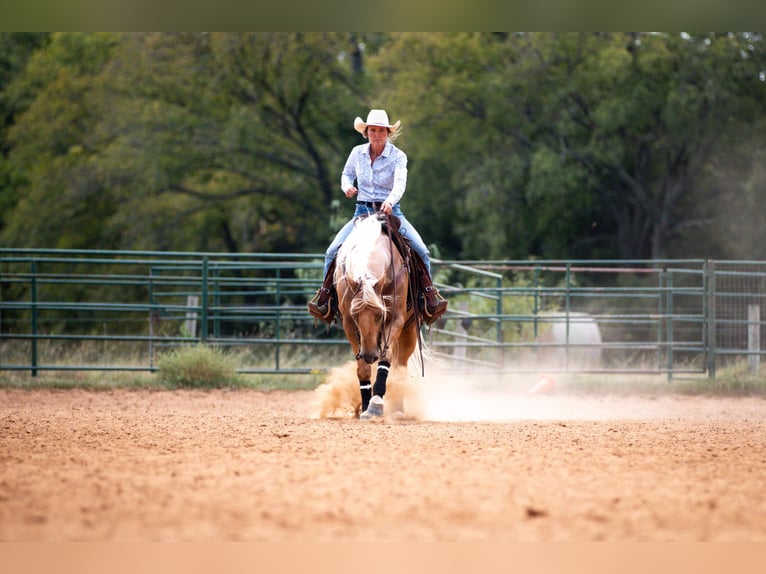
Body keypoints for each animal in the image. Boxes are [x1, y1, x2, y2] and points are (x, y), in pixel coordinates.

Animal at [336, 214, 420, 420]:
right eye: (356, 316)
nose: (369, 354)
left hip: (409, 331)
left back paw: (398, 409)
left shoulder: (396, 319)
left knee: (400, 367)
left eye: (379, 315)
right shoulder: (348, 324)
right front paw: (366, 406)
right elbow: (362, 368)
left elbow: (386, 358)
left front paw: (375, 404)